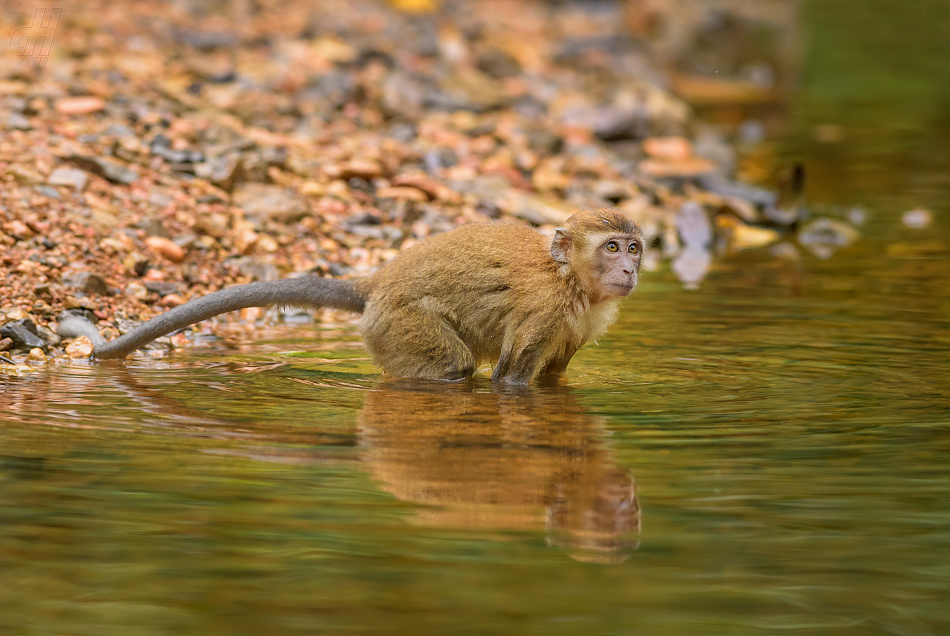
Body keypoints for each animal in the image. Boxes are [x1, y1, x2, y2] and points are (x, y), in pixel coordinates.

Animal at [80, 211, 648, 386]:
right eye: (611, 247)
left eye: (634, 247)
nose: (628, 268)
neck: (571, 279)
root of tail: (377, 285)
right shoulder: (546, 308)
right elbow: (510, 382)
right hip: (398, 324)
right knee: (452, 369)